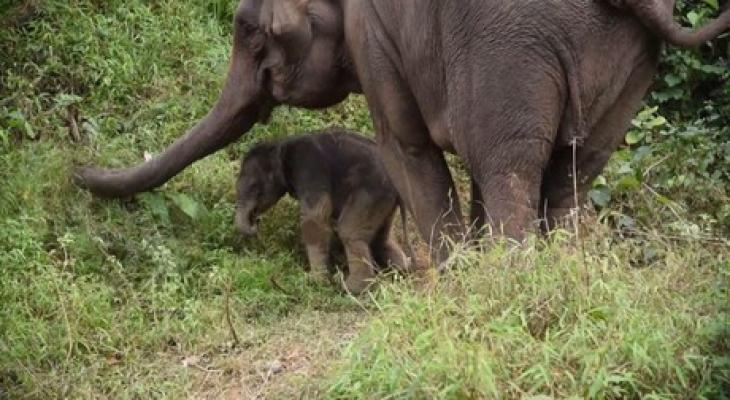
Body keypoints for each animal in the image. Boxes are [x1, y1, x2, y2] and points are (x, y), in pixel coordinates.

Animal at [75, 0, 728, 262]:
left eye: (247, 31)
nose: (75, 172)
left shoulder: (373, 37)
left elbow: (407, 148)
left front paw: (451, 279)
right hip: (628, 59)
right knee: (574, 169)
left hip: (511, 46)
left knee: (510, 170)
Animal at [237, 128, 412, 294]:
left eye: (253, 187)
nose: (255, 222)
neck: (281, 145)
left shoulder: (309, 169)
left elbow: (314, 218)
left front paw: (316, 282)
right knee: (381, 237)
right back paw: (400, 273)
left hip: (370, 191)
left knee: (349, 231)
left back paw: (351, 289)